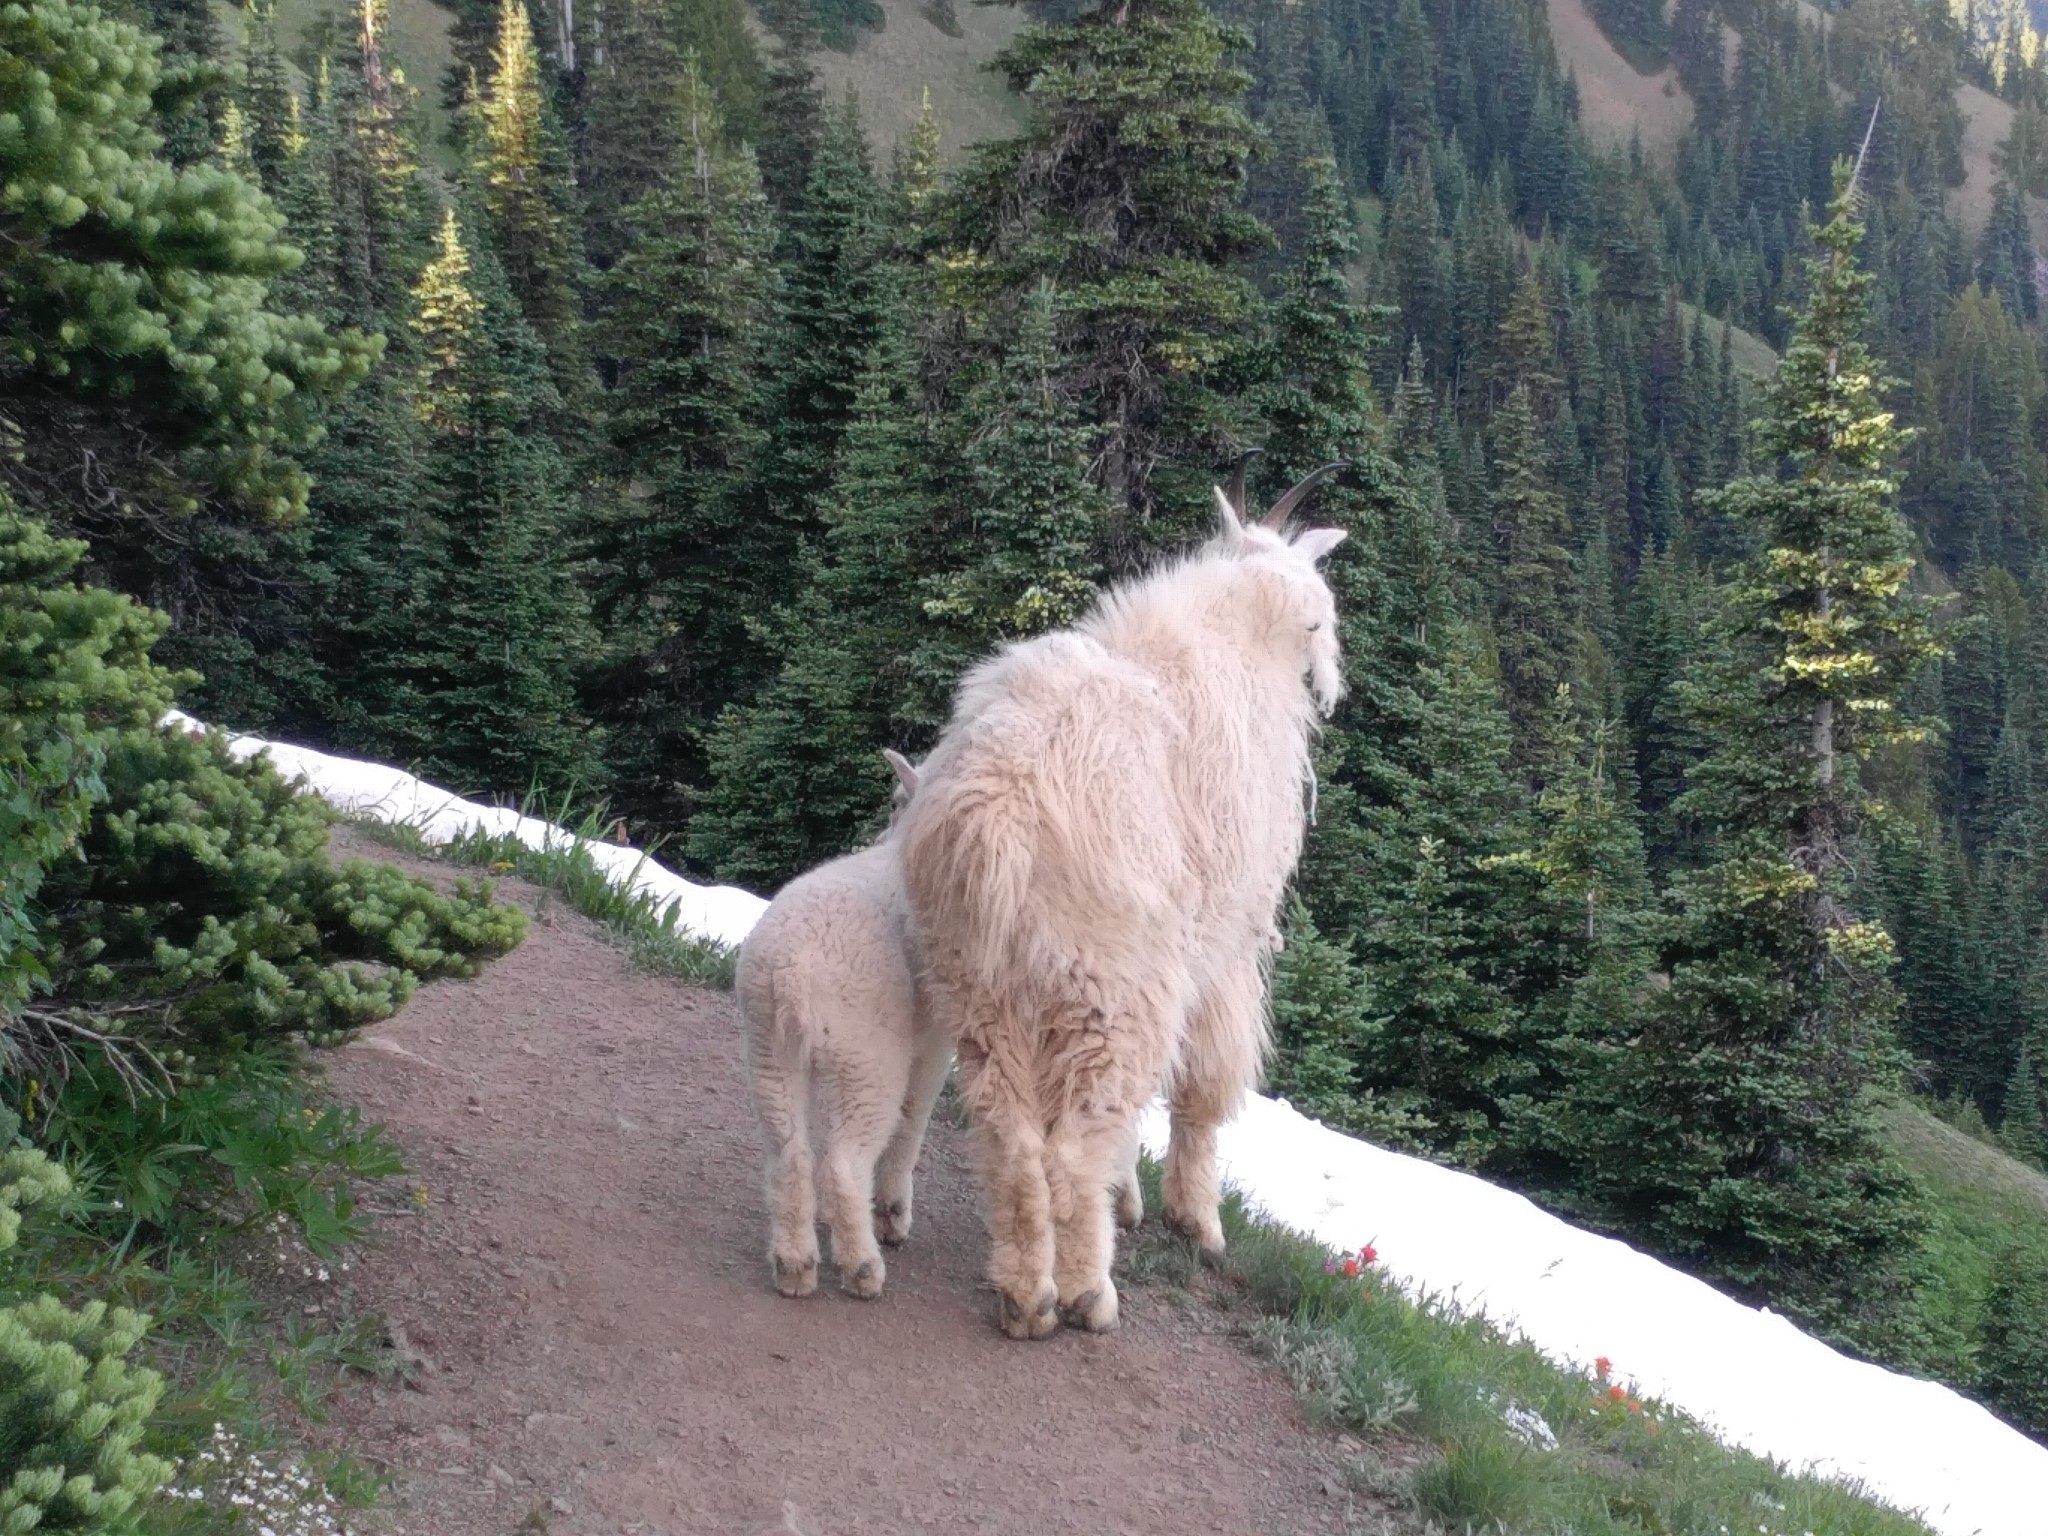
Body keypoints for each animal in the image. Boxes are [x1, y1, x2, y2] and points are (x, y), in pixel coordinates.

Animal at [897, 462, 1343, 1343]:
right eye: (1318, 612)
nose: (1331, 682)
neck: (1235, 636)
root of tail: (1000, 809)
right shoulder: (1223, 947)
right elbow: (1203, 1085)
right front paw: (1196, 1223)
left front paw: (1130, 1200)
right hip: (1108, 985)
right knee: (1073, 1140)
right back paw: (1085, 1295)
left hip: (982, 985)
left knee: (1012, 1136)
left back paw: (1026, 1297)